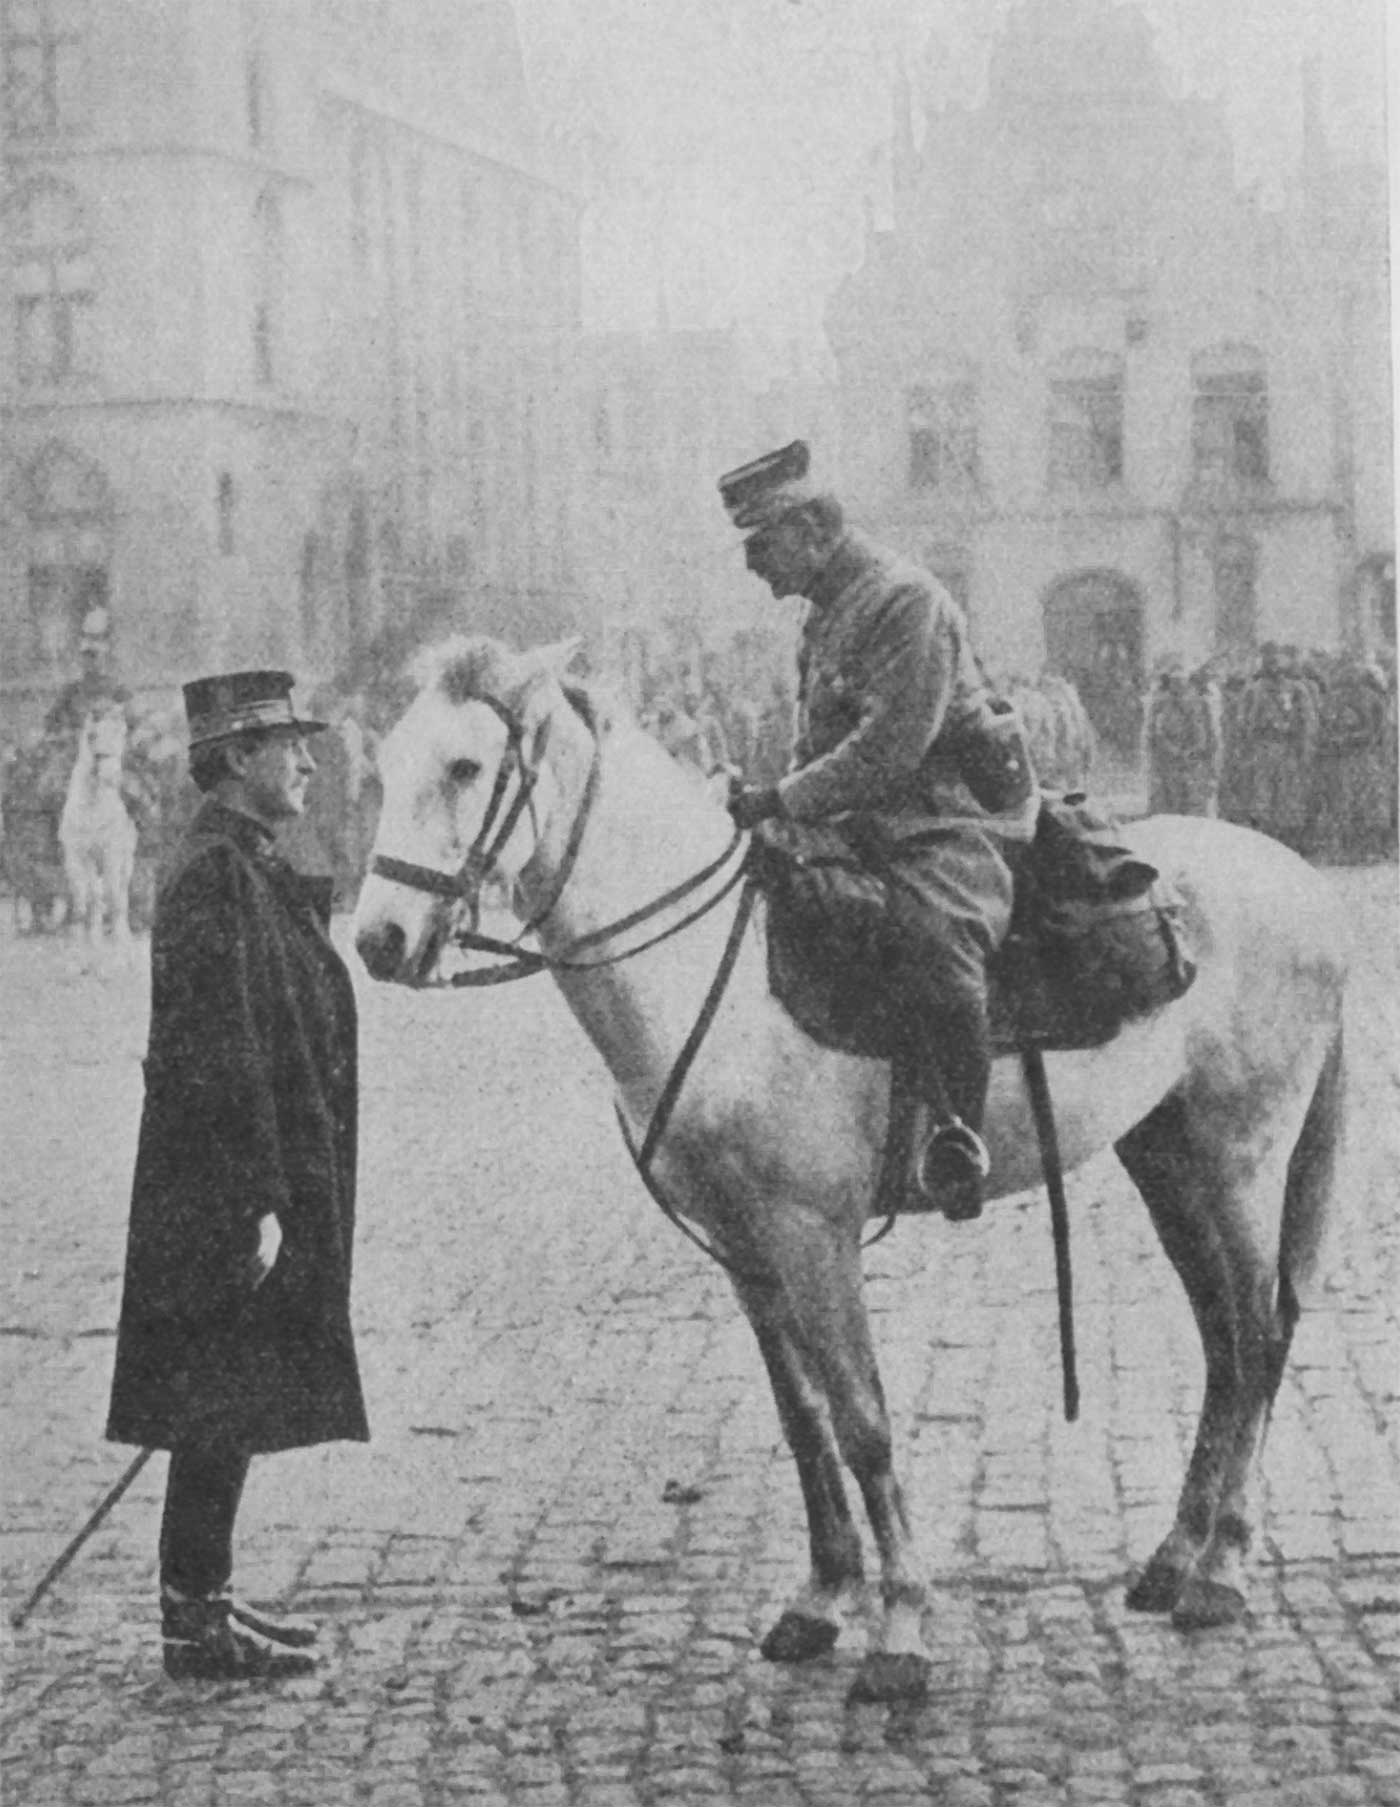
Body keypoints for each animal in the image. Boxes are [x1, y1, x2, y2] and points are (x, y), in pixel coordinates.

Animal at [58, 705, 137, 964]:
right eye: (92, 736)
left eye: (121, 735)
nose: (112, 778)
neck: (91, 808)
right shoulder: (78, 857)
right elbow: (86, 900)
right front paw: (86, 947)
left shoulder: (110, 854)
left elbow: (112, 897)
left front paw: (116, 949)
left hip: (125, 863)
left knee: (119, 896)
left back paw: (124, 940)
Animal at [352, 635, 1350, 1705]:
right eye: (383, 767)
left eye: (465, 766)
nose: (376, 940)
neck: (719, 974)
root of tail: (1301, 881)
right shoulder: (744, 1250)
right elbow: (806, 1420)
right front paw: (822, 1598)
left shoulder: (814, 1233)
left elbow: (865, 1419)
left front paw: (901, 1628)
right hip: (1166, 1156)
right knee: (1223, 1344)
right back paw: (1173, 1556)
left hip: (1240, 1157)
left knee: (1260, 1334)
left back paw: (1222, 1568)